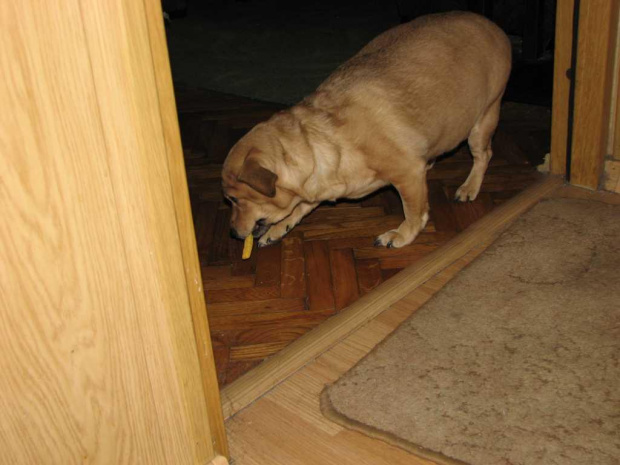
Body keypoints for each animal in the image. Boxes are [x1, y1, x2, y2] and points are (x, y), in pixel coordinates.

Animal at [222, 12, 511, 248]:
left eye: (234, 200)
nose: (233, 234)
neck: (320, 142)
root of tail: (493, 26)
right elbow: (300, 207)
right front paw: (281, 226)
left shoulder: (407, 174)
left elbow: (414, 211)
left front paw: (401, 235)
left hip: (482, 121)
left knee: (484, 155)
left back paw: (469, 187)